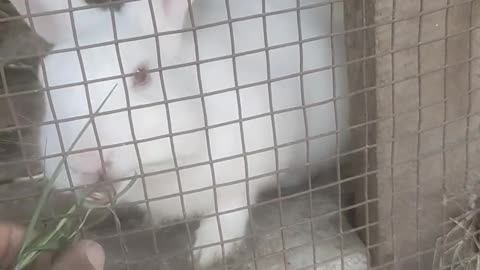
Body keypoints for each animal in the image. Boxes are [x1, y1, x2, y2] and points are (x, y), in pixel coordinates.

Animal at [10, 0, 348, 266]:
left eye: (142, 75)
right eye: (45, 80)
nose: (86, 160)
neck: (164, 171)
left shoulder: (247, 164)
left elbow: (231, 207)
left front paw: (209, 251)